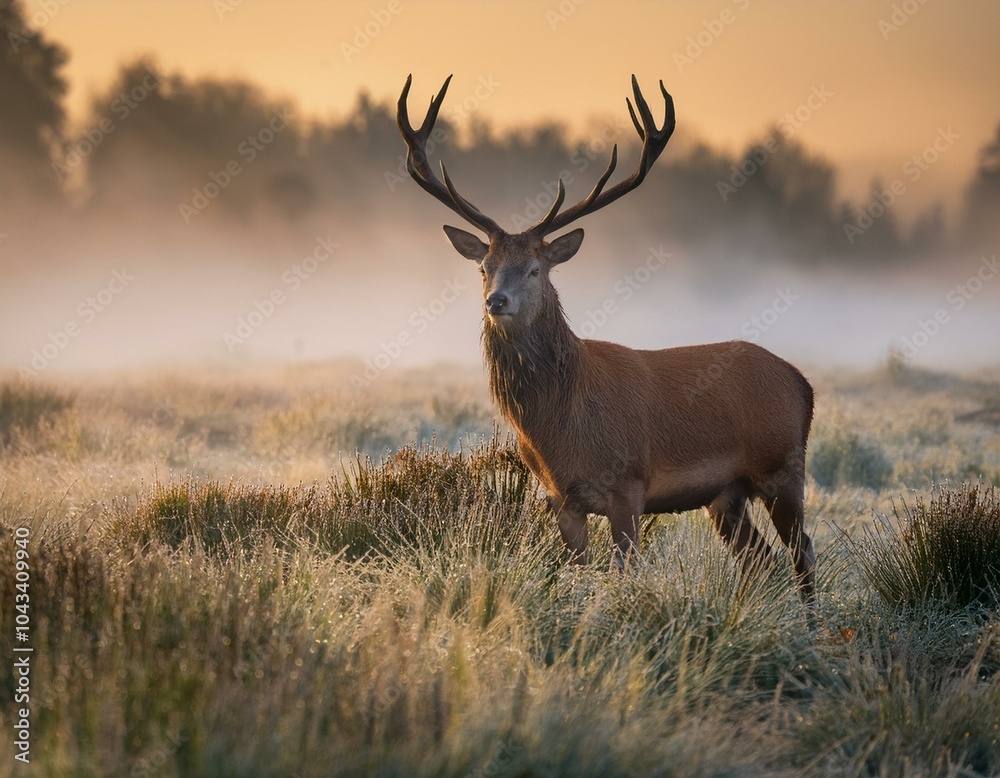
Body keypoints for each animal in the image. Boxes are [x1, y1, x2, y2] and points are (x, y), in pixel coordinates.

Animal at [397, 75, 816, 602]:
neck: (560, 426)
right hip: (726, 495)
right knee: (759, 560)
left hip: (783, 466)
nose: (496, 301)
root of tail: (803, 384)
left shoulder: (629, 484)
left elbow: (623, 572)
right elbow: (576, 571)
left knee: (803, 555)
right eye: (484, 267)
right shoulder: (560, 498)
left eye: (534, 269)